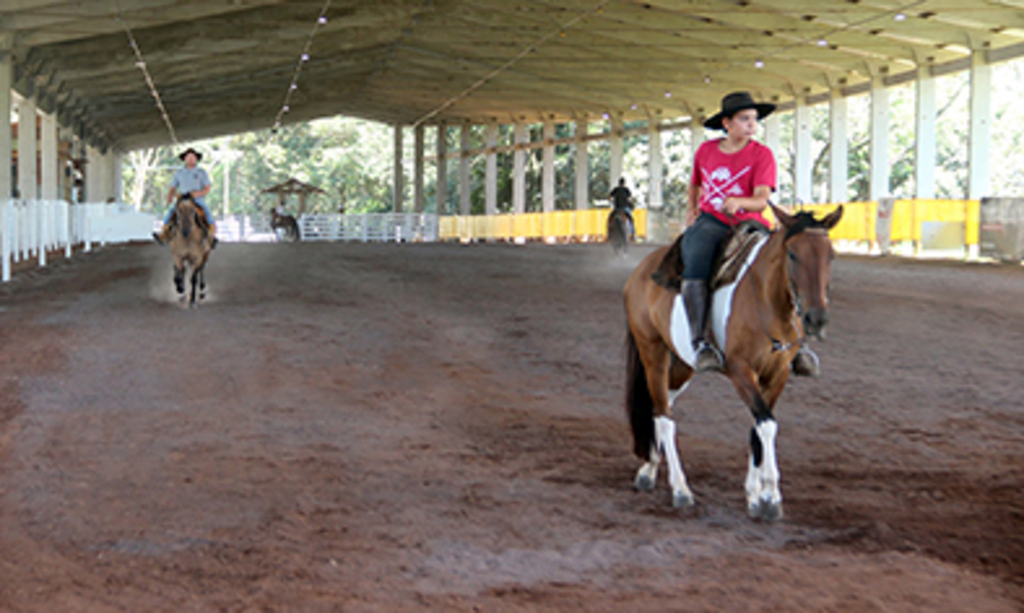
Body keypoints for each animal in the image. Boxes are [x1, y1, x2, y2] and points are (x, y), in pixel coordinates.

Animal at [622, 203, 839, 519]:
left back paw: (648, 470)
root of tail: (640, 272)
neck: (766, 300)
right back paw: (681, 489)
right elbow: (767, 424)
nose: (816, 319)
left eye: (830, 255)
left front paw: (755, 496)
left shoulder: (777, 375)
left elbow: (757, 428)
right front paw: (771, 496)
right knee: (664, 416)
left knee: (659, 407)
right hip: (653, 353)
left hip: (682, 365)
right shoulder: (740, 371)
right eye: (792, 254)